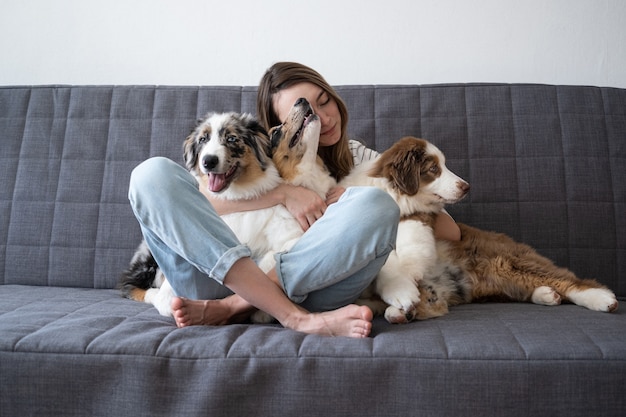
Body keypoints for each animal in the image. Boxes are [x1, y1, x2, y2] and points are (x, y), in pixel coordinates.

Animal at [348, 136, 616, 322]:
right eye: (433, 169)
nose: (466, 186)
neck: (392, 193)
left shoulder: (419, 218)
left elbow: (402, 249)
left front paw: (404, 285)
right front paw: (404, 297)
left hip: (509, 261)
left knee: (569, 279)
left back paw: (602, 299)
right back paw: (547, 295)